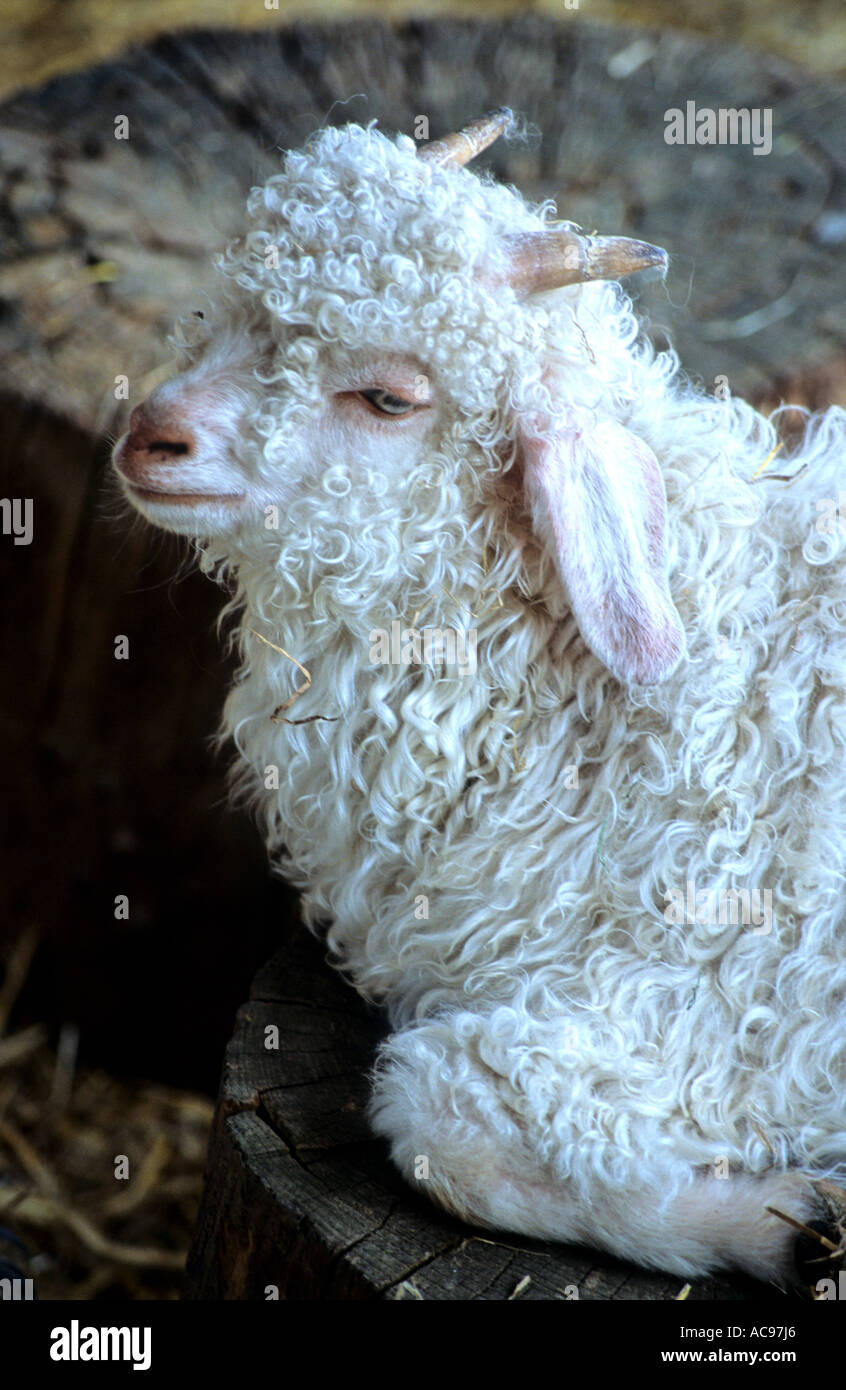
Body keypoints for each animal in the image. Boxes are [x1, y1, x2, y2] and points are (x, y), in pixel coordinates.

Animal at [113, 111, 846, 1284]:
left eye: (389, 397)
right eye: (226, 305)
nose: (151, 435)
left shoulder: (734, 1017)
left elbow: (434, 1116)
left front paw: (783, 1220)